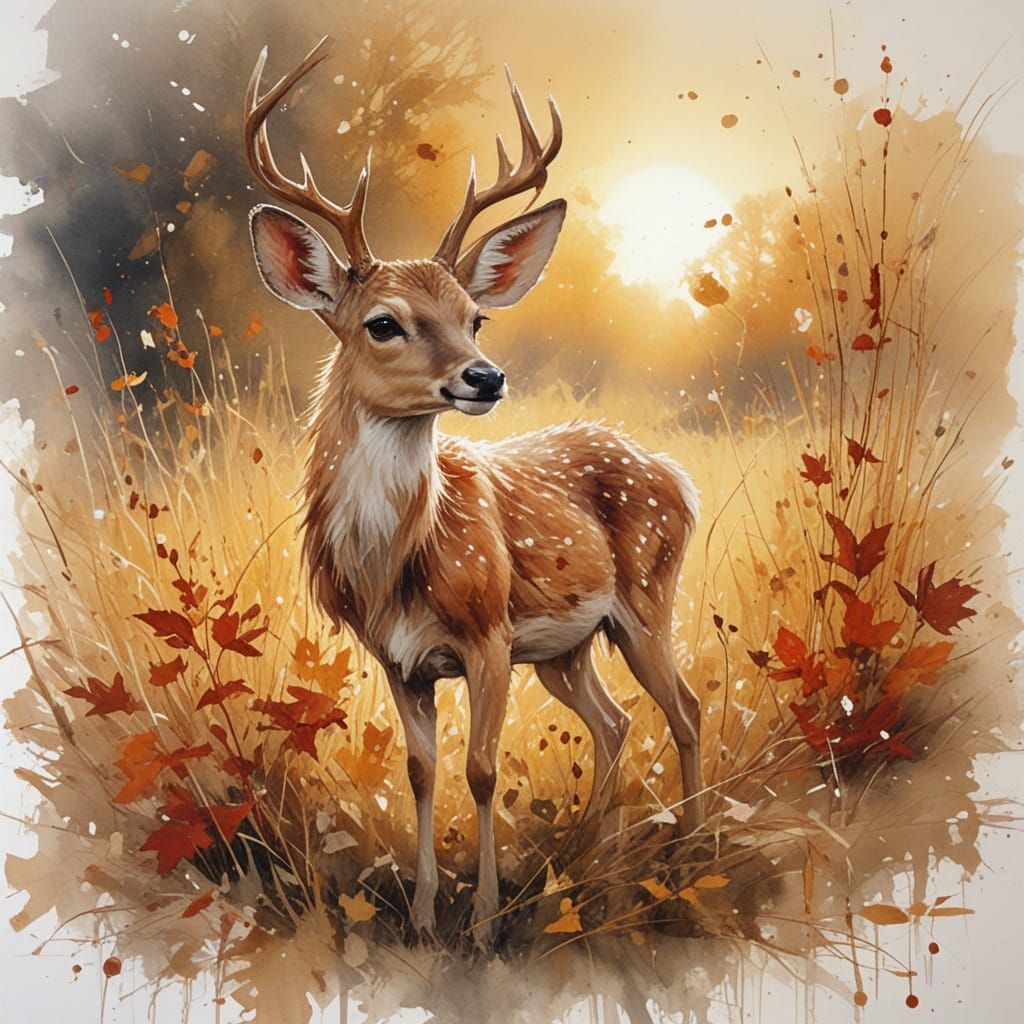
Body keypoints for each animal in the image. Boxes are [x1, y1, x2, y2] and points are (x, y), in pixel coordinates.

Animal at [244, 36, 703, 942]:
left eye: (476, 316)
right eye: (383, 322)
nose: (484, 377)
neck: (394, 566)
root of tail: (674, 474)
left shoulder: (489, 635)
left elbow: (482, 770)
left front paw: (485, 920)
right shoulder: (399, 658)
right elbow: (423, 771)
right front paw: (426, 915)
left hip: (644, 596)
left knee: (685, 710)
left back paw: (699, 849)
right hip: (566, 647)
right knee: (615, 722)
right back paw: (593, 862)